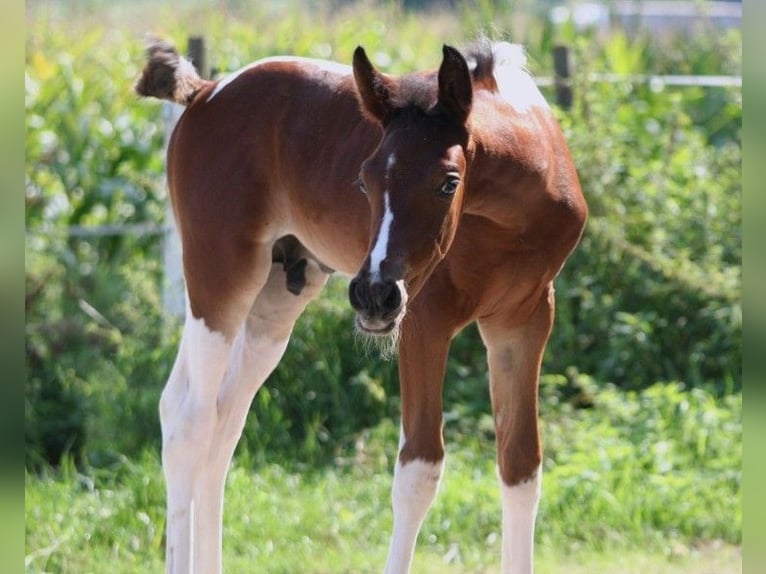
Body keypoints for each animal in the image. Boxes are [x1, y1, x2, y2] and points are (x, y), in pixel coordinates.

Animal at [135, 37, 588, 574]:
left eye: (448, 182)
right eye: (364, 181)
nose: (373, 294)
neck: (511, 218)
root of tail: (205, 91)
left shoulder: (524, 322)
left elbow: (520, 466)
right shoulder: (424, 322)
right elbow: (418, 472)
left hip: (276, 299)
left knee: (224, 424)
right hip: (218, 282)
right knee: (190, 420)